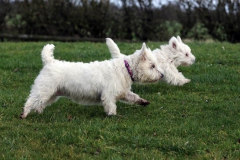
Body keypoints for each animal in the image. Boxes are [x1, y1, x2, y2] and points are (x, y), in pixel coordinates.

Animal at [20, 43, 164, 118]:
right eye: (152, 66)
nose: (162, 75)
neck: (126, 69)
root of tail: (49, 62)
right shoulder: (108, 95)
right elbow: (111, 106)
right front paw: (112, 115)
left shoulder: (123, 92)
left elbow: (134, 97)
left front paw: (144, 102)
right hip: (44, 89)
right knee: (30, 101)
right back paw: (24, 114)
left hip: (52, 94)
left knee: (39, 104)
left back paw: (38, 112)